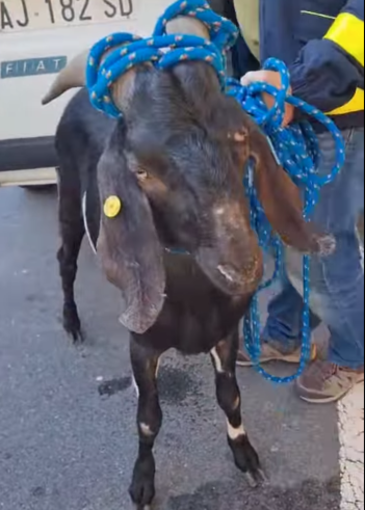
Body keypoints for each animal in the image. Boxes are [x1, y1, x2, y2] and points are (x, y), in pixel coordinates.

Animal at [42, 15, 330, 510]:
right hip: (67, 195)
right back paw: (72, 322)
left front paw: (245, 455)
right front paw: (142, 482)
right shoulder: (142, 344)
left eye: (240, 137)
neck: (192, 296)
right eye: (141, 171)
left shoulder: (227, 331)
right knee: (66, 260)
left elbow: (230, 396)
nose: (242, 266)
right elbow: (148, 416)